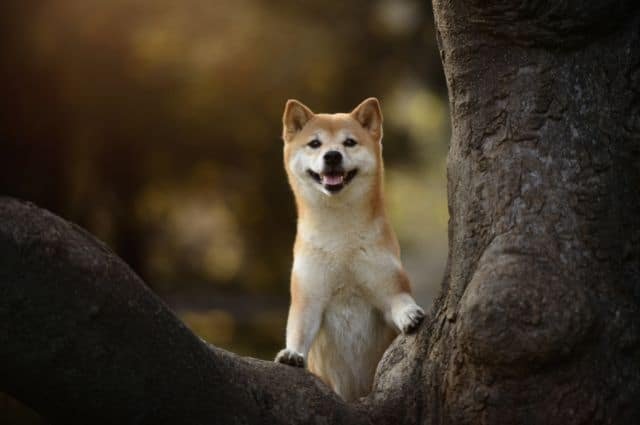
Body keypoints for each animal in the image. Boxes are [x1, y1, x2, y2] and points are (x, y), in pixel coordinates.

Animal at [276, 97, 424, 400]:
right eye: (315, 143)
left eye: (349, 142)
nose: (332, 156)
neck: (340, 242)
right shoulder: (308, 298)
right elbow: (298, 331)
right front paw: (292, 354)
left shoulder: (387, 283)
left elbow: (399, 300)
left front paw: (410, 314)